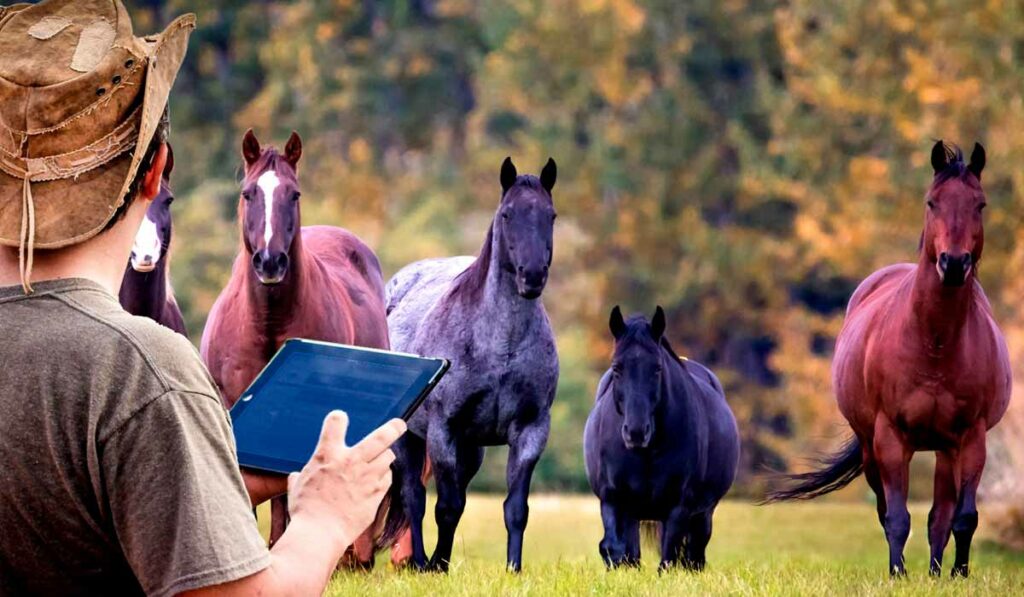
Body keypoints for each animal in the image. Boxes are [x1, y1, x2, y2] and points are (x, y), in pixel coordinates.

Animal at [385, 156, 561, 573]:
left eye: (551, 215)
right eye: (507, 214)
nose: (532, 276)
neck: (500, 348)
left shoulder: (531, 431)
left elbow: (515, 509)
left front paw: (513, 569)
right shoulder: (443, 430)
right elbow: (445, 507)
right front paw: (437, 566)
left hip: (472, 449)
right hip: (408, 438)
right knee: (414, 496)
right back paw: (419, 561)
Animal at [585, 309, 737, 569]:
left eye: (657, 368)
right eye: (616, 368)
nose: (636, 432)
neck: (647, 451)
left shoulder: (678, 507)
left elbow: (668, 558)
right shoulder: (613, 500)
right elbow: (615, 548)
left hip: (702, 514)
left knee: (694, 554)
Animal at [765, 141, 1011, 577]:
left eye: (980, 204)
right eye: (931, 202)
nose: (953, 263)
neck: (934, 344)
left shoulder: (972, 437)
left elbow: (963, 517)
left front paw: (958, 574)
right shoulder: (890, 437)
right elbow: (896, 516)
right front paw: (898, 574)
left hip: (946, 449)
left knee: (940, 515)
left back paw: (935, 572)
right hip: (871, 448)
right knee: (888, 509)